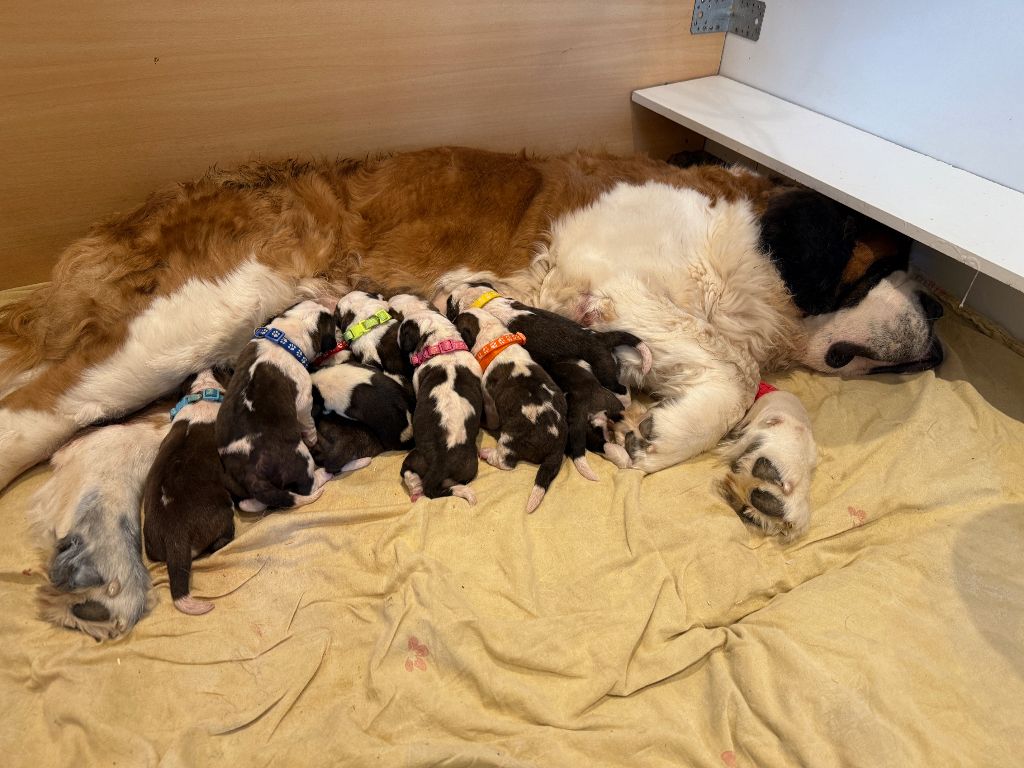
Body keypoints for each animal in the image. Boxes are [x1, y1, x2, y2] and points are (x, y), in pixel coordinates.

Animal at [216, 300, 337, 512]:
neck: (284, 339)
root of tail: (251, 475)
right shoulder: (304, 402)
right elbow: (308, 423)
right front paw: (313, 437)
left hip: (230, 479)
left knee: (251, 502)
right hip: (301, 457)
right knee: (308, 485)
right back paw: (324, 474)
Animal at [390, 293, 484, 503]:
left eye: (403, 329)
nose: (397, 332)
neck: (443, 345)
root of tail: (441, 464)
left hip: (416, 458)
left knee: (409, 473)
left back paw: (415, 489)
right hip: (469, 467)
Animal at [453, 308, 567, 512]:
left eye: (455, 322)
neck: (494, 341)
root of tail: (558, 445)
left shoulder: (488, 399)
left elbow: (491, 417)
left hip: (510, 436)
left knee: (505, 462)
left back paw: (487, 454)